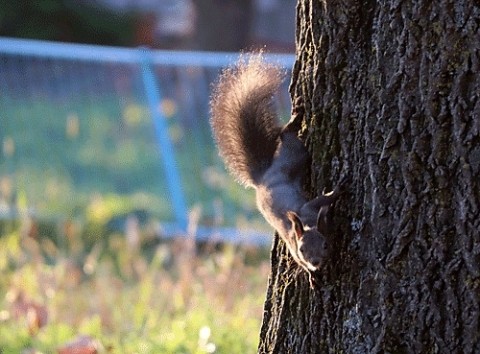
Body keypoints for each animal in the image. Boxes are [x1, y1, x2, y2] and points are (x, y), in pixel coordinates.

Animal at [210, 54, 344, 288]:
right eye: (302, 250)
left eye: (325, 245)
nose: (315, 263)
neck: (305, 224)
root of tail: (262, 178)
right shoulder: (296, 236)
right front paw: (311, 276)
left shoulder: (309, 210)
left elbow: (322, 201)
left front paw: (337, 190)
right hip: (294, 156)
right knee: (284, 134)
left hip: (294, 157)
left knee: (284, 134)